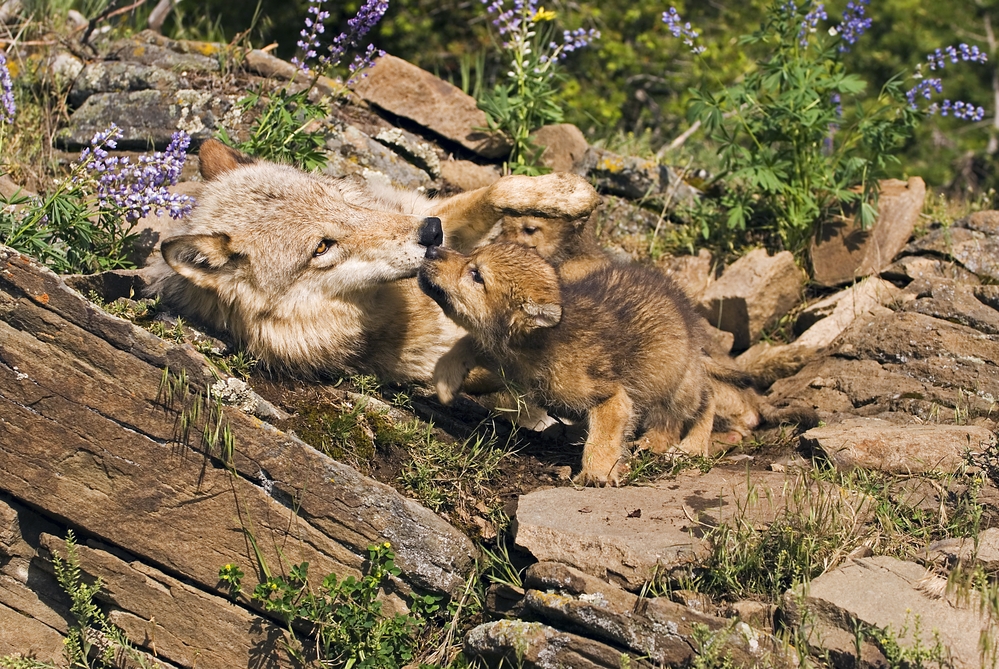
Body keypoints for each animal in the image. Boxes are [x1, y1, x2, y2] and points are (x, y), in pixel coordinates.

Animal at [146, 139, 600, 380]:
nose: (430, 233)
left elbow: (502, 187)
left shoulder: (430, 211)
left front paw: (571, 194)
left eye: (337, 197)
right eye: (322, 247)